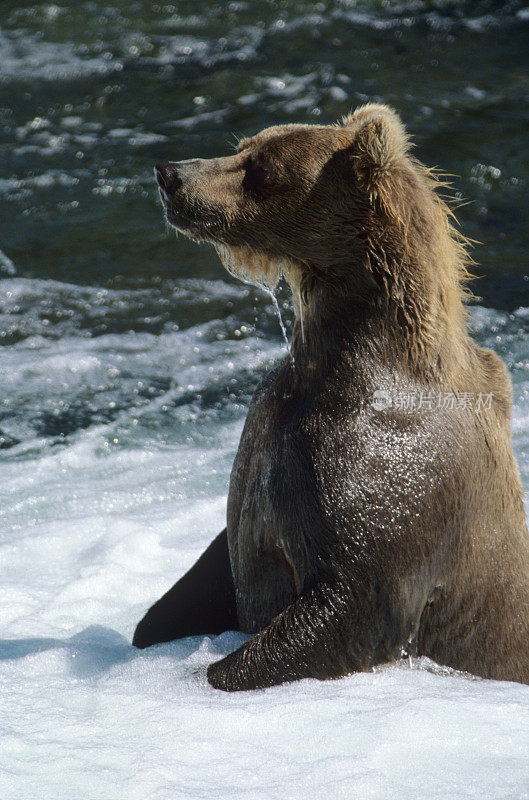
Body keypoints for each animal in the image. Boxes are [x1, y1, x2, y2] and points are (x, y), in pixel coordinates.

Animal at [131, 104, 528, 692]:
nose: (170, 174)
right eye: (243, 145)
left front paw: (217, 670)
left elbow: (355, 602)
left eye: (262, 168)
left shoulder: (389, 472)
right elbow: (208, 571)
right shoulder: (272, 437)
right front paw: (155, 627)